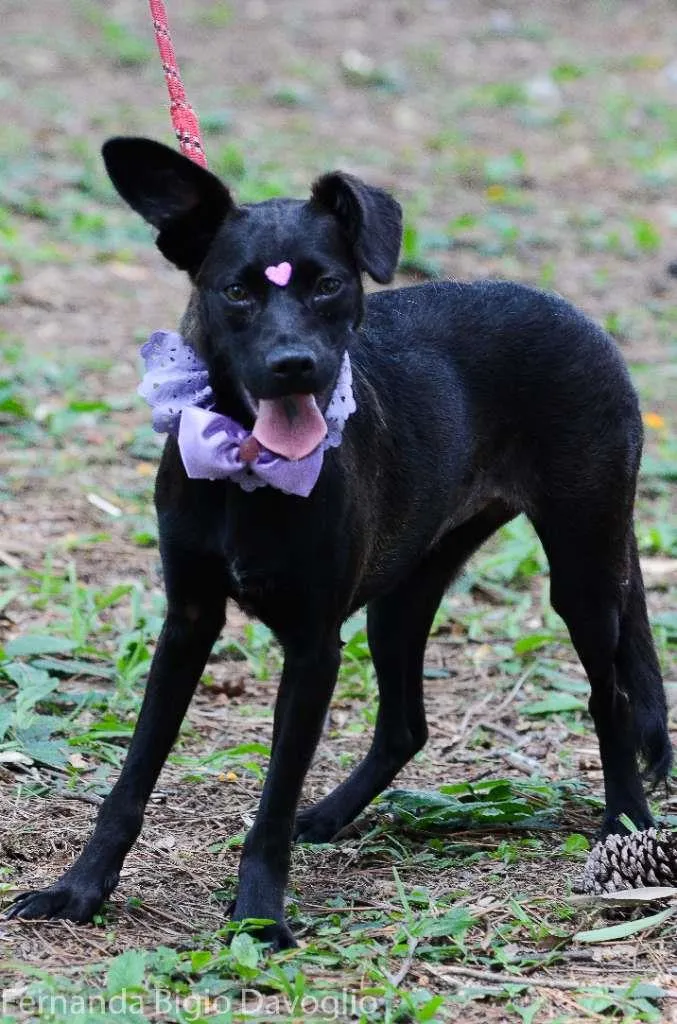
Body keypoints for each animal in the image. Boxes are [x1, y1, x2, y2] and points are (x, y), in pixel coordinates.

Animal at [6, 140, 671, 946]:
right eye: (237, 292)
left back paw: (625, 823)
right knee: (406, 724)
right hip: (404, 594)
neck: (246, 470)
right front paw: (79, 889)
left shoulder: (314, 647)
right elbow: (133, 777)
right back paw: (328, 816)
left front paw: (260, 917)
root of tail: (576, 315)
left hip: (583, 566)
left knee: (610, 695)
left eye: (326, 286)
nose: (295, 363)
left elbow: (272, 799)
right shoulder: (187, 622)